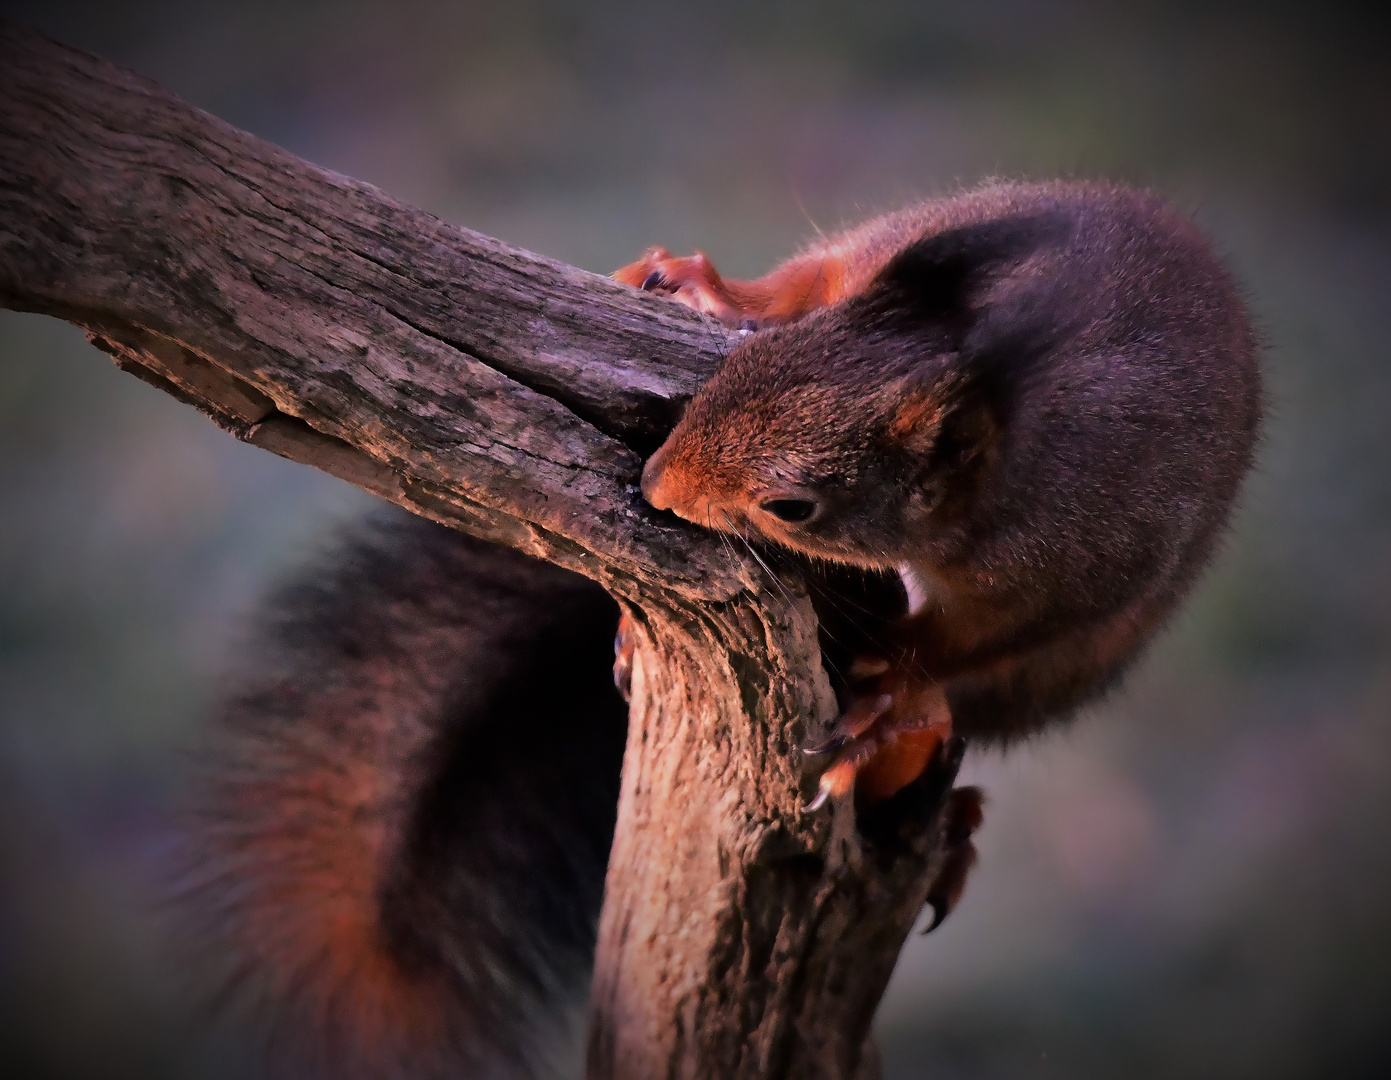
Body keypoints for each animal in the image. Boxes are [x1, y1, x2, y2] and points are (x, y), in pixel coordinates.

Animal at [182, 180, 1263, 1074]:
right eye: (737, 370)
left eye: (793, 506)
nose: (654, 485)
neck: (999, 368)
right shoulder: (900, 246)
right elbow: (809, 274)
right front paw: (709, 290)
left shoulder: (1074, 562)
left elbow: (966, 643)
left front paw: (893, 695)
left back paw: (923, 775)